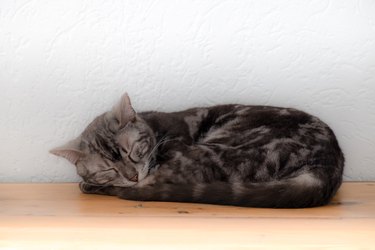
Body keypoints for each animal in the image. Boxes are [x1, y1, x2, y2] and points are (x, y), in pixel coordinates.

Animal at [51, 93, 346, 208]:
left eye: (132, 151)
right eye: (109, 168)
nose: (131, 175)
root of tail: (328, 165)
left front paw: (90, 184)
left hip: (213, 152)